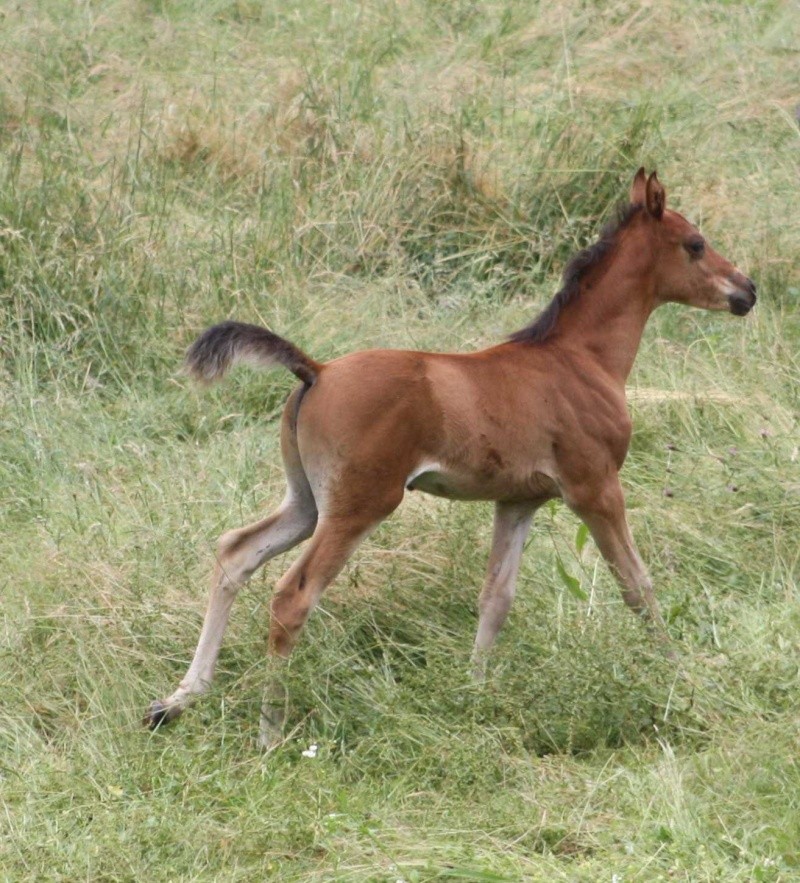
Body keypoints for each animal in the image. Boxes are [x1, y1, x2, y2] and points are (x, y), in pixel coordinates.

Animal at [148, 167, 756, 744]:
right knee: (291, 597)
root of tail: (315, 370)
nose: (747, 290)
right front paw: (680, 678)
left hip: (307, 502)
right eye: (696, 243)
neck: (578, 359)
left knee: (236, 553)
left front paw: (474, 695)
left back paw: (178, 700)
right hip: (360, 504)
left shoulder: (518, 501)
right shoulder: (595, 489)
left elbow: (496, 598)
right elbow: (637, 586)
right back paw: (269, 732)